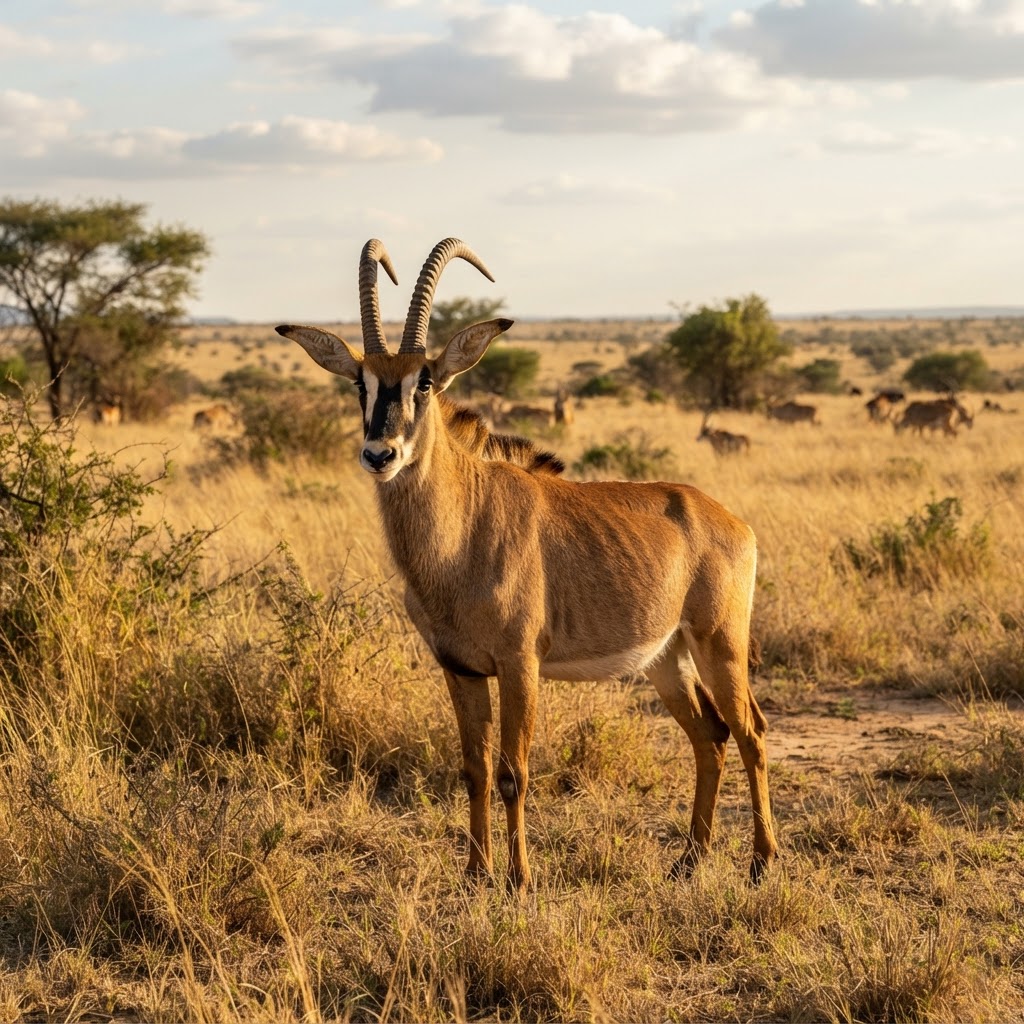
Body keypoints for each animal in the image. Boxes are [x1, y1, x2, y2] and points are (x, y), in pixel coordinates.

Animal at [277, 238, 777, 891]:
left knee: (751, 733)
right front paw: (475, 873)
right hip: (665, 658)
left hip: (719, 643)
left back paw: (761, 863)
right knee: (710, 736)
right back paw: (688, 861)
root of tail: (730, 520)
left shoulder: (520, 665)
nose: (380, 454)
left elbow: (513, 770)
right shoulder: (460, 669)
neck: (461, 533)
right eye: (360, 384)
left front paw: (519, 879)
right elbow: (474, 769)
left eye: (425, 381)